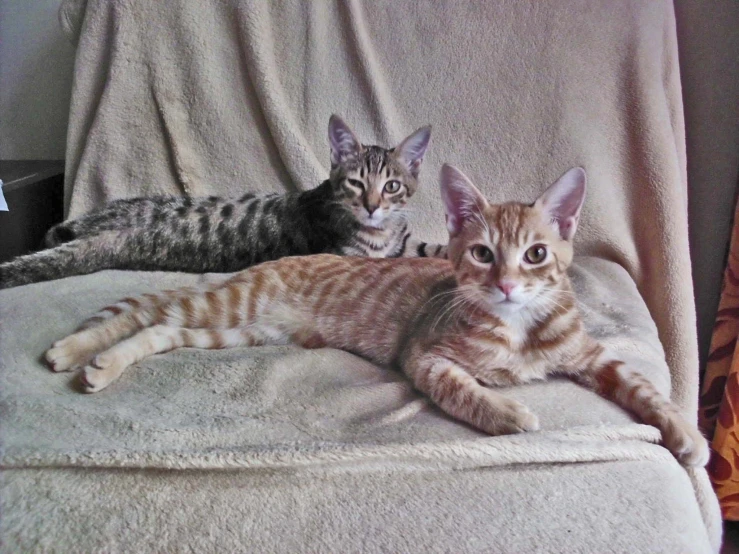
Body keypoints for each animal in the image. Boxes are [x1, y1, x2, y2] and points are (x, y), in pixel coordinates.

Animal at [0, 116, 446, 288]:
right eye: (355, 183)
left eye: (392, 186)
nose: (371, 205)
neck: (381, 229)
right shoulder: (350, 256)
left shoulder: (405, 241)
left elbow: (435, 248)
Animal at [47, 163, 712, 462]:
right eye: (482, 253)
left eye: (536, 255)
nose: (505, 286)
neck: (519, 330)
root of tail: (271, 264)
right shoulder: (425, 355)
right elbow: (465, 391)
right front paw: (508, 413)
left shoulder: (591, 355)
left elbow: (643, 388)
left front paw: (686, 434)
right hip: (228, 303)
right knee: (146, 313)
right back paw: (79, 352)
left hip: (237, 328)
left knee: (162, 327)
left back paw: (98, 363)